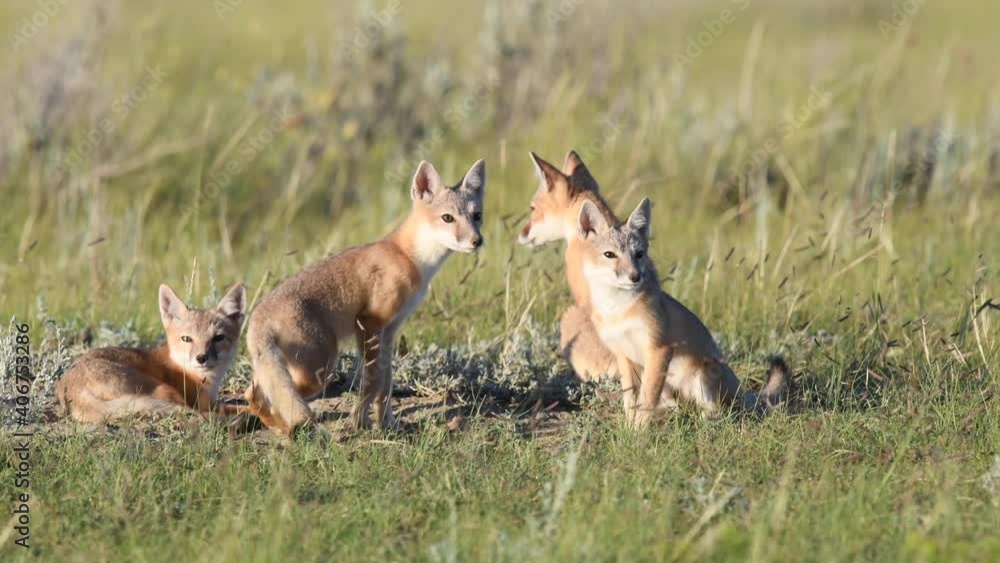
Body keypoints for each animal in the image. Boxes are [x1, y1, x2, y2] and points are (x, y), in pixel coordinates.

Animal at [55, 283, 247, 423]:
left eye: (218, 338)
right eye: (186, 339)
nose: (201, 358)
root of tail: (70, 387)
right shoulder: (202, 403)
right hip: (164, 389)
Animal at [243, 159, 486, 435]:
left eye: (477, 216)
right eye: (447, 218)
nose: (477, 241)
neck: (408, 257)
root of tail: (258, 315)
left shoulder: (390, 329)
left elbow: (386, 382)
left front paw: (387, 423)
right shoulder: (369, 323)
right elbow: (373, 382)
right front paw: (359, 421)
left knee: (253, 394)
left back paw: (278, 427)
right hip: (321, 369)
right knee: (270, 398)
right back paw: (287, 429)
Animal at [576, 197, 790, 426]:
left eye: (639, 254)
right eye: (609, 255)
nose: (635, 277)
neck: (618, 310)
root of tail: (741, 389)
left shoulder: (659, 350)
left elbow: (646, 399)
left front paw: (638, 430)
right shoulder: (624, 356)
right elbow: (631, 401)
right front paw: (628, 428)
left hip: (702, 375)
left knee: (720, 412)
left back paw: (703, 420)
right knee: (677, 407)